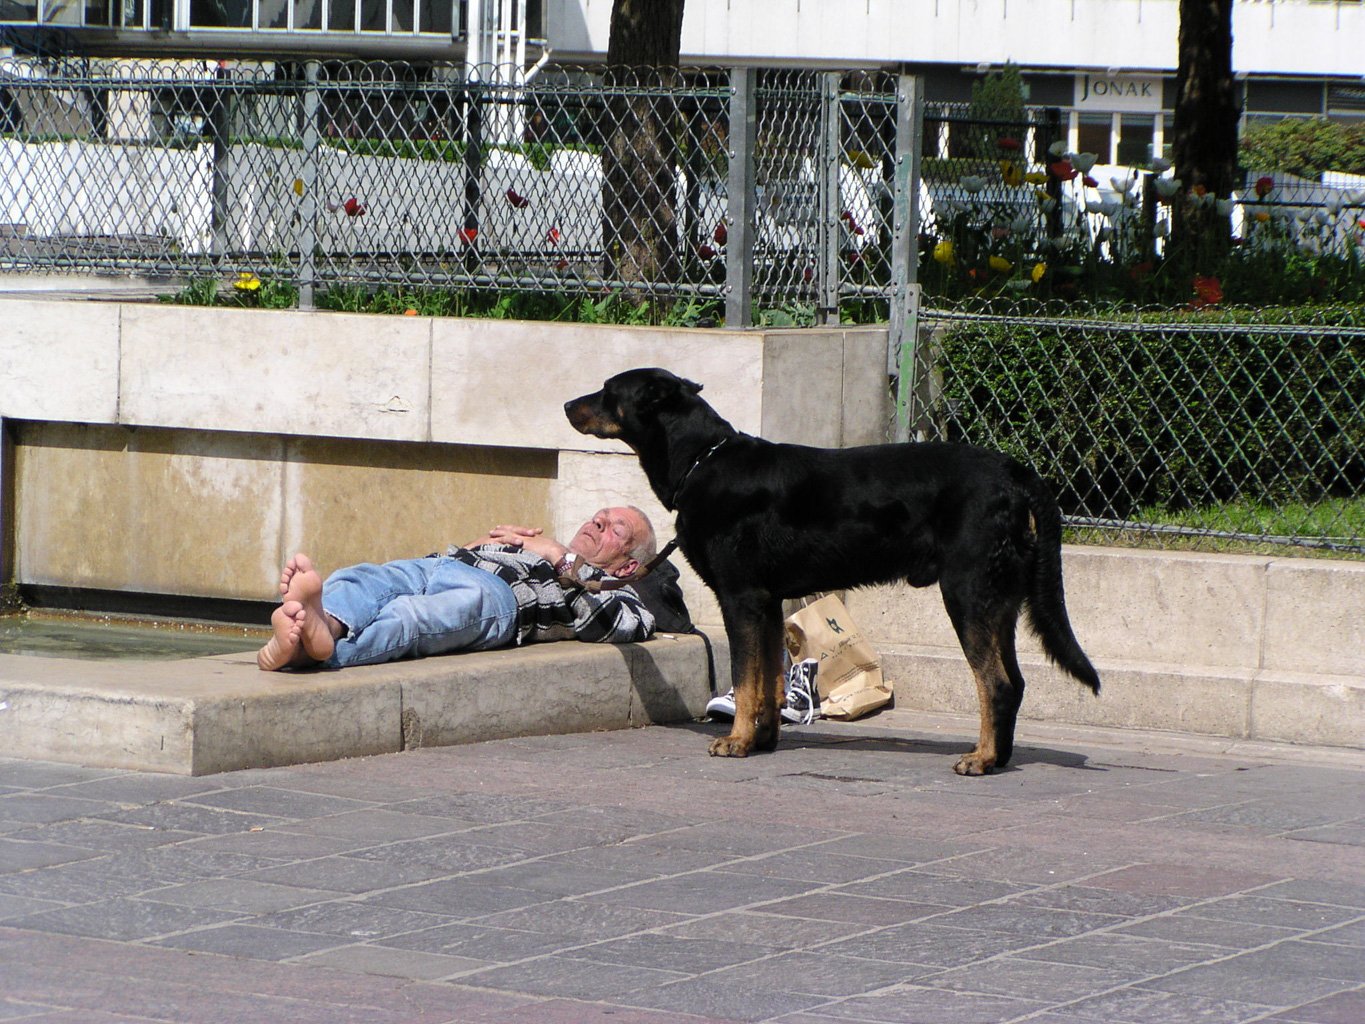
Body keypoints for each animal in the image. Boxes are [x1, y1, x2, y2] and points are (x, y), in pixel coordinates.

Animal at [565, 367, 1099, 774]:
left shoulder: (741, 598)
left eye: (609, 391)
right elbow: (768, 680)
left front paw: (736, 743)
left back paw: (981, 760)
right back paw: (999, 756)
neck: (702, 460)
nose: (569, 404)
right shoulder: (769, 604)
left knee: (996, 683)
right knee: (1014, 682)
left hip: (967, 594)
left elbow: (745, 678)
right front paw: (762, 739)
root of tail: (1016, 474)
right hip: (999, 601)